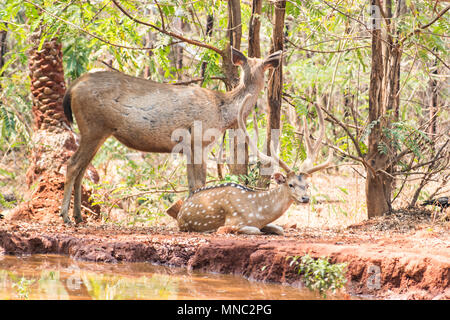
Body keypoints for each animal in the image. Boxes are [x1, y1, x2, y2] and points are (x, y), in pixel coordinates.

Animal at [60, 48, 282, 225]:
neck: (223, 113)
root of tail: (73, 87)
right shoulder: (199, 141)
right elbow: (200, 183)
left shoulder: (189, 148)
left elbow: (192, 184)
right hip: (93, 128)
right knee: (73, 165)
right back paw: (66, 217)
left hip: (97, 132)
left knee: (82, 170)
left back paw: (79, 217)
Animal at [167, 93, 332, 235]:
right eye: (290, 184)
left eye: (307, 185)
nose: (305, 198)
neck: (258, 211)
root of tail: (182, 207)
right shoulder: (233, 221)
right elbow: (254, 230)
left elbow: (279, 229)